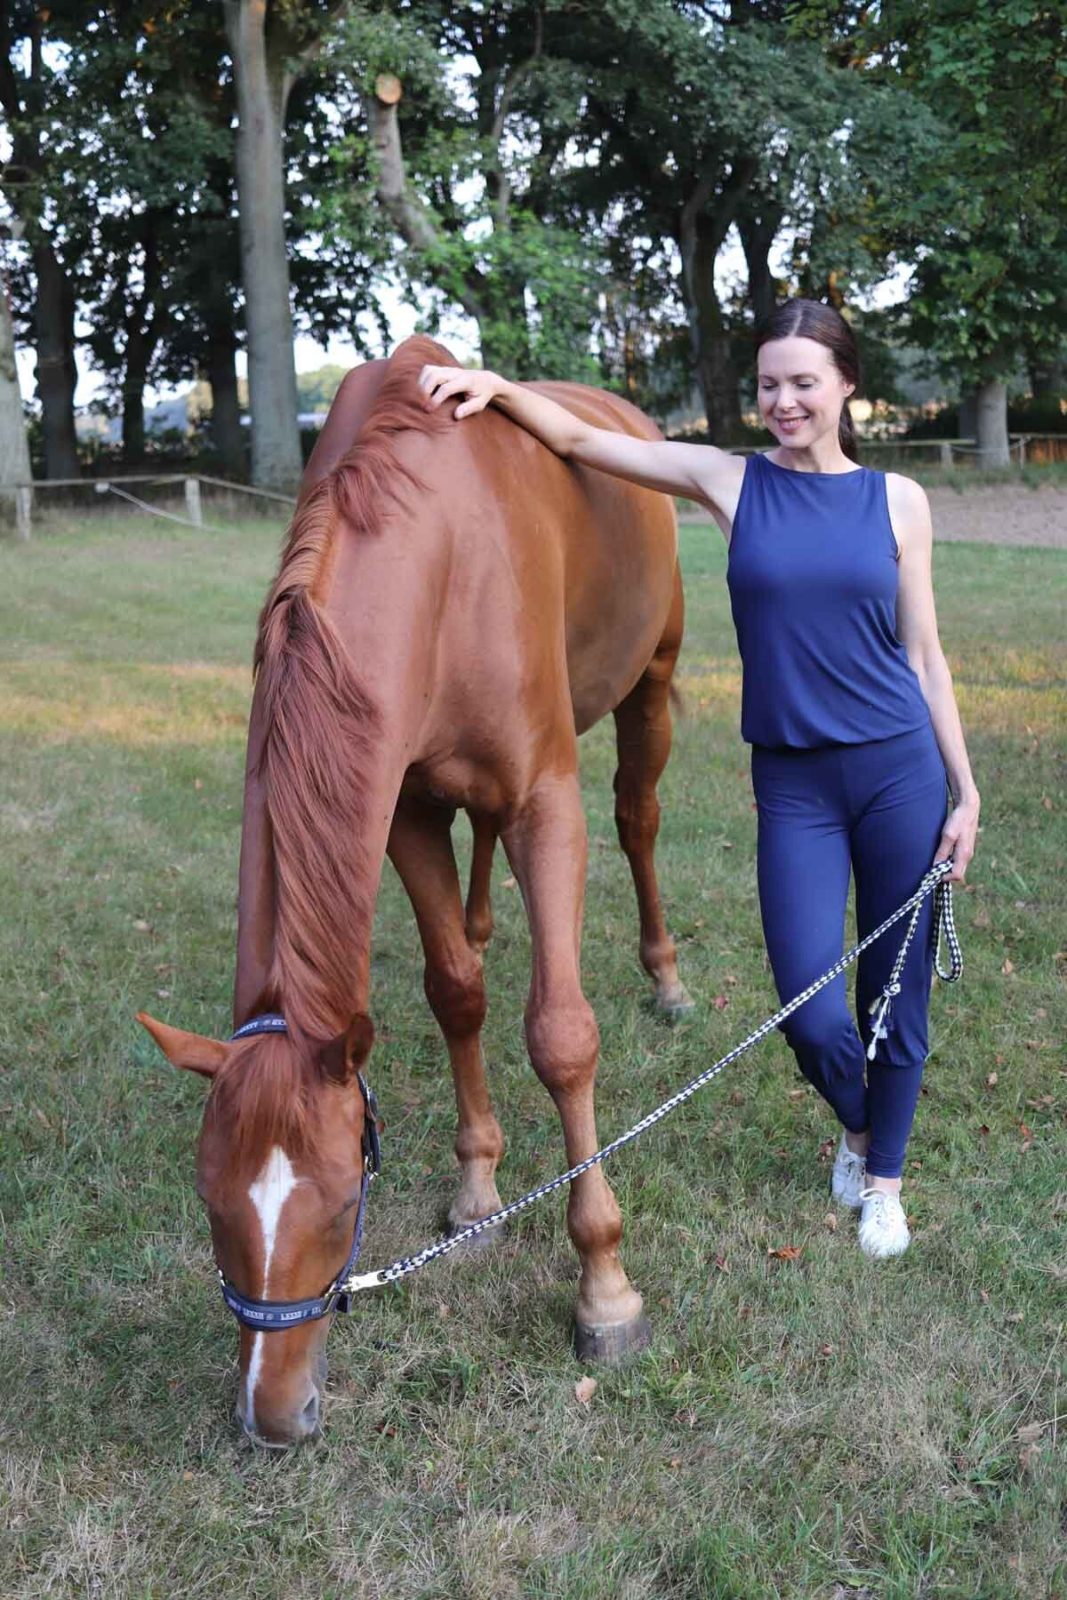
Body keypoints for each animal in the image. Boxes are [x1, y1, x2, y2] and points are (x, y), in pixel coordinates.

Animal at [138, 334, 690, 1446]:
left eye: (341, 1203)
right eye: (212, 1203)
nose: (272, 1414)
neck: (439, 555)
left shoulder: (543, 800)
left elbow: (560, 1035)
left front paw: (604, 1289)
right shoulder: (403, 810)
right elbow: (456, 991)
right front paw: (476, 1189)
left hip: (649, 682)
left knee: (637, 820)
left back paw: (663, 978)